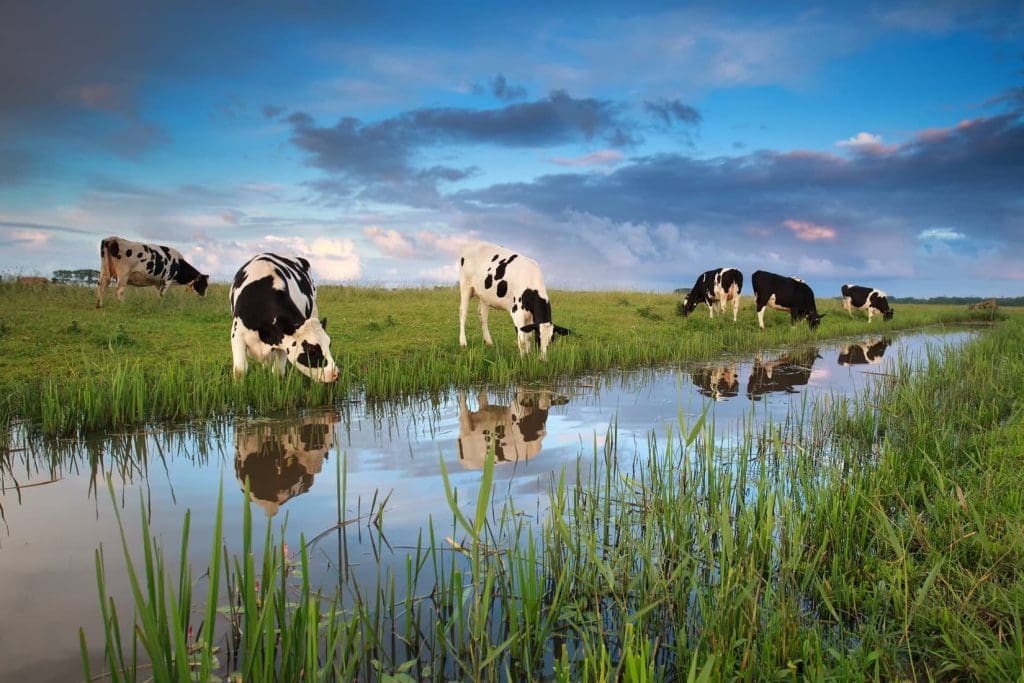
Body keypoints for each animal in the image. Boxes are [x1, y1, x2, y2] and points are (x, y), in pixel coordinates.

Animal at [229, 253, 339, 383]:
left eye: (329, 344)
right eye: (311, 350)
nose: (335, 374)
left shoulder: (283, 343)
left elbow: (278, 372)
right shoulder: (237, 334)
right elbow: (240, 370)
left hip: (313, 310)